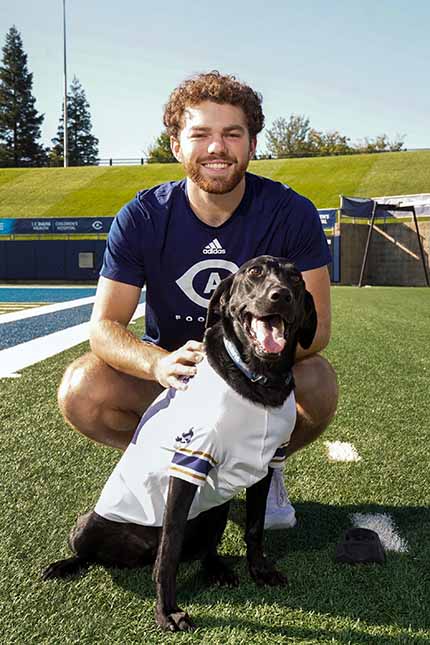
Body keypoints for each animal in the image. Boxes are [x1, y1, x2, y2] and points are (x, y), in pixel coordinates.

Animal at [42, 255, 316, 628]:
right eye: (254, 273)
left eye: (296, 278)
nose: (281, 296)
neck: (259, 380)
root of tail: (136, 553)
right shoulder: (189, 463)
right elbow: (168, 552)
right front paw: (167, 610)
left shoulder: (267, 461)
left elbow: (255, 527)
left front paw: (259, 570)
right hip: (88, 523)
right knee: (93, 552)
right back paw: (65, 565)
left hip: (214, 505)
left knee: (206, 545)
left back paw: (216, 569)